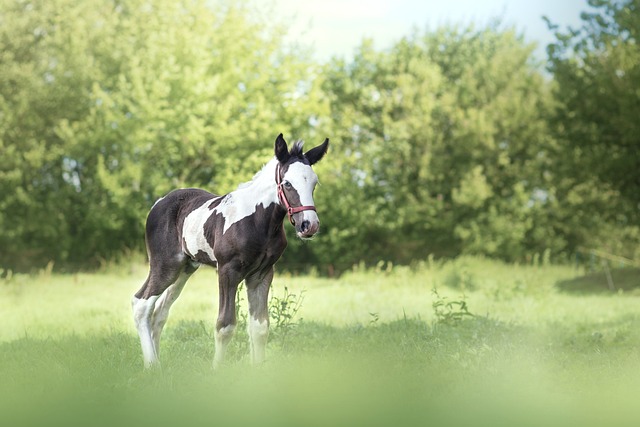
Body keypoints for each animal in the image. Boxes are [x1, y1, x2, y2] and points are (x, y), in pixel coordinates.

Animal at [132, 133, 328, 368]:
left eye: (314, 183)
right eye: (287, 183)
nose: (309, 225)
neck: (257, 221)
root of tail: (158, 203)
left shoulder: (262, 274)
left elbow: (259, 327)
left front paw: (258, 369)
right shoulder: (227, 271)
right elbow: (224, 325)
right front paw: (218, 370)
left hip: (185, 268)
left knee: (160, 312)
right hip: (165, 265)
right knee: (141, 304)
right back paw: (152, 365)